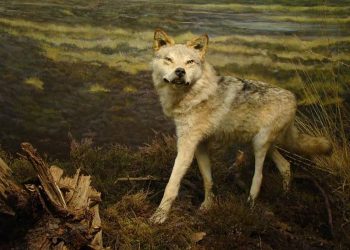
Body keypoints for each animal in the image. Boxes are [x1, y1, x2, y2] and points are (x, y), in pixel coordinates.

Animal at [149, 28, 332, 223]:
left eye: (189, 62)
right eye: (169, 59)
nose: (180, 71)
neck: (193, 95)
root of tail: (293, 97)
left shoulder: (187, 145)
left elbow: (172, 184)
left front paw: (159, 216)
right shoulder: (200, 146)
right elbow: (208, 180)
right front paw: (207, 207)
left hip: (259, 145)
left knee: (259, 177)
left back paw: (250, 207)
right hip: (264, 144)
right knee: (286, 166)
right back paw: (286, 198)